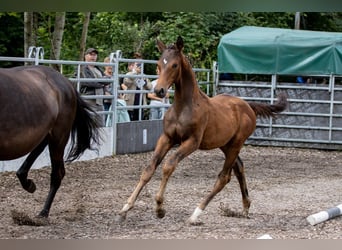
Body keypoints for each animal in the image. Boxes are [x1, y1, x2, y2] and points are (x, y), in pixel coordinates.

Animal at [0, 66, 100, 219]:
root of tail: (68, 84)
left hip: (59, 137)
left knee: (57, 174)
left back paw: (43, 212)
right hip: (47, 134)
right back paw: (28, 183)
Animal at [117, 35, 288, 225]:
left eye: (174, 65)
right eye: (159, 64)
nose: (159, 90)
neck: (184, 106)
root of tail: (248, 106)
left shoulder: (192, 142)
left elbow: (169, 165)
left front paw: (160, 208)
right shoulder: (167, 137)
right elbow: (149, 168)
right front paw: (125, 208)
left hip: (236, 143)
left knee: (224, 177)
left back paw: (196, 213)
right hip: (225, 144)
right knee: (239, 168)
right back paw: (245, 207)